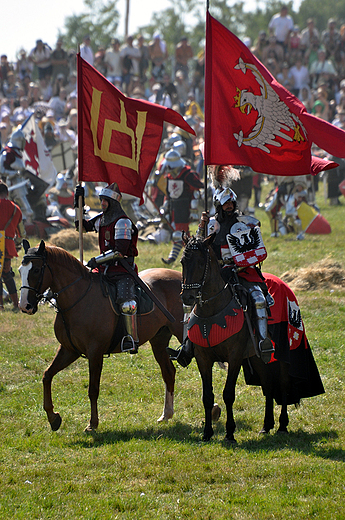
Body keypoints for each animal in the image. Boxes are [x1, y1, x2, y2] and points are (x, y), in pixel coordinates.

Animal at [18, 240, 185, 430]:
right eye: (20, 271)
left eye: (36, 270)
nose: (24, 306)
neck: (78, 297)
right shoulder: (69, 350)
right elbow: (47, 376)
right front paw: (53, 418)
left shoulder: (95, 353)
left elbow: (93, 389)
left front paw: (93, 423)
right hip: (158, 340)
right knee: (168, 372)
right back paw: (166, 414)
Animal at [181, 236, 324, 442]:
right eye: (183, 262)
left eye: (201, 263)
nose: (188, 297)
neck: (212, 309)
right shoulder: (203, 358)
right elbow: (207, 396)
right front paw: (207, 433)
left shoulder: (235, 357)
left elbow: (228, 394)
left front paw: (230, 433)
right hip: (258, 358)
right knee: (268, 385)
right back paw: (266, 425)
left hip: (283, 353)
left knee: (283, 383)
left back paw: (282, 425)